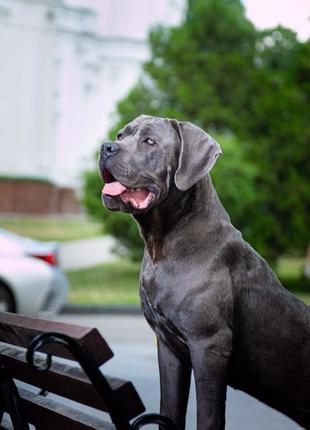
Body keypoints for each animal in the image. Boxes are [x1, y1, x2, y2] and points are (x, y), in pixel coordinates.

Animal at [98, 114, 310, 430]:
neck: (162, 243)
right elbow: (169, 408)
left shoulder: (209, 346)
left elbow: (208, 416)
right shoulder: (169, 346)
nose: (106, 147)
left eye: (149, 141)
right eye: (121, 135)